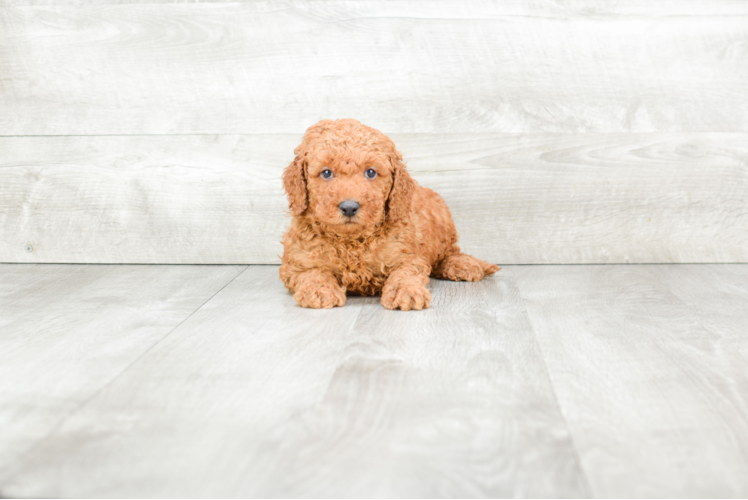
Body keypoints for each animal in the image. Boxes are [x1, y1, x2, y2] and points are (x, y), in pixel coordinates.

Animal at [278, 119, 500, 310]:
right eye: (326, 173)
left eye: (371, 172)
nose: (349, 207)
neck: (351, 241)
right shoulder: (297, 261)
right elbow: (311, 272)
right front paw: (319, 290)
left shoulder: (407, 255)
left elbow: (406, 273)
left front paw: (406, 292)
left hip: (443, 222)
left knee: (449, 253)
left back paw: (462, 264)